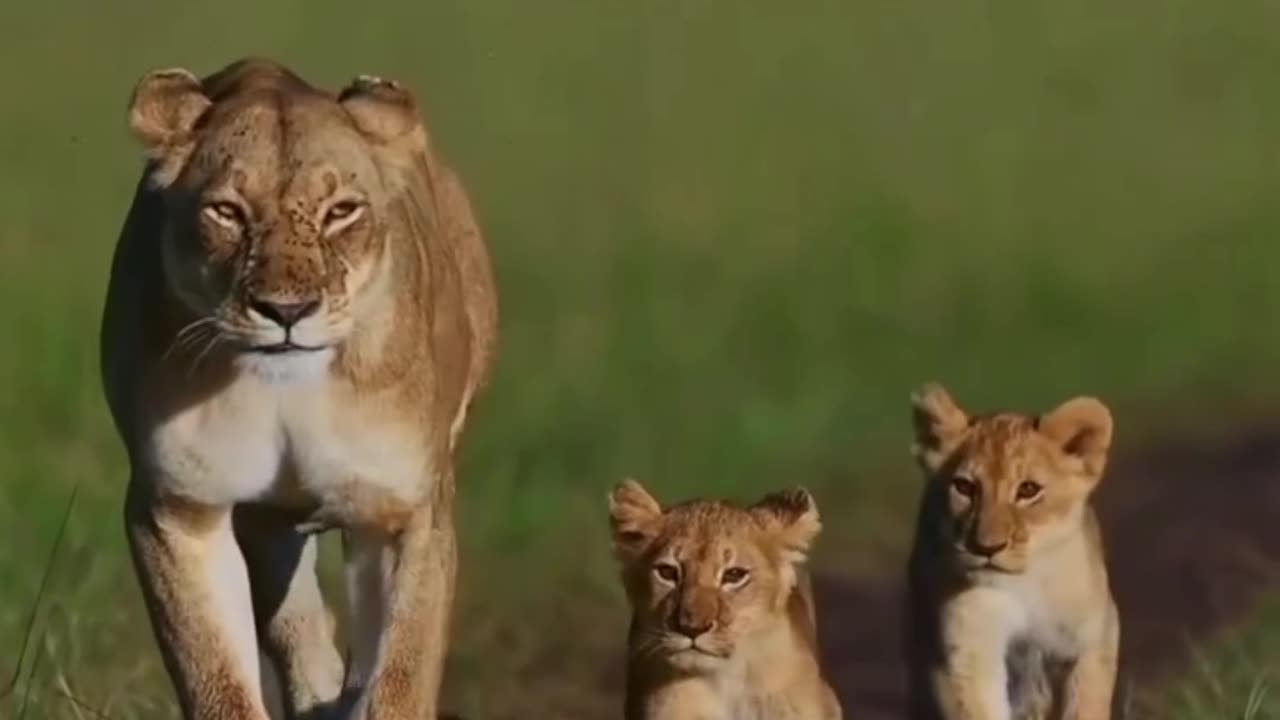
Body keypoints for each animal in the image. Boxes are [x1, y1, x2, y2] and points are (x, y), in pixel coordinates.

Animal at [98, 57, 497, 720]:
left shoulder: (409, 511)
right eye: (227, 211)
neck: (290, 395)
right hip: (269, 524)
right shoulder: (179, 509)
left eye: (341, 211)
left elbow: (400, 676)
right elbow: (217, 678)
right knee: (300, 633)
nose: (286, 311)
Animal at [904, 383, 1121, 720]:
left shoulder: (1094, 636)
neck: (1024, 582)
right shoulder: (966, 655)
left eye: (1028, 490)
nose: (986, 547)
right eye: (964, 487)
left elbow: (1086, 705)